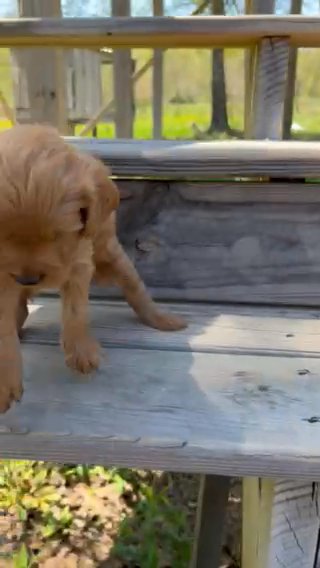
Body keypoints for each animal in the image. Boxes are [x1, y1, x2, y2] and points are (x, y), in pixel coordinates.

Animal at [0, 125, 186, 412]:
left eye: (57, 236)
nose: (28, 279)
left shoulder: (80, 262)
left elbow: (76, 310)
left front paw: (81, 351)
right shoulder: (3, 276)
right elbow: (3, 326)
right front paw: (6, 382)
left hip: (110, 253)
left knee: (135, 288)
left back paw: (161, 318)